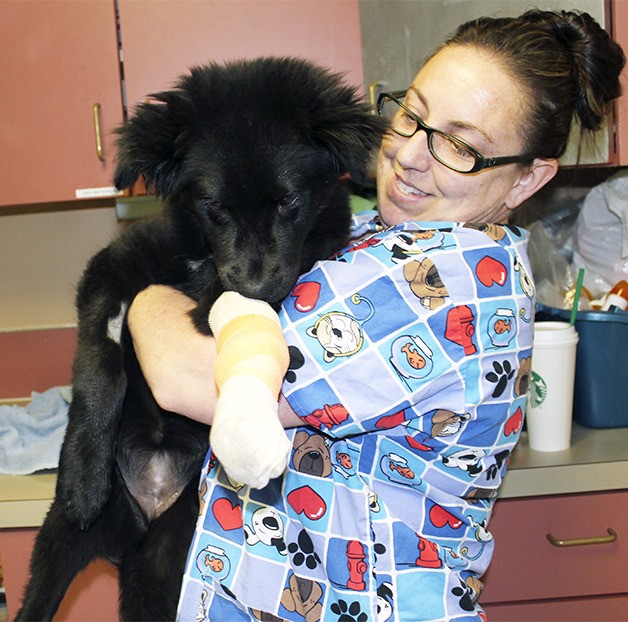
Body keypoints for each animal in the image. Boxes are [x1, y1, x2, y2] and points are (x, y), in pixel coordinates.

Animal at [14, 58, 386, 622]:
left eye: (290, 201)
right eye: (213, 204)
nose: (253, 285)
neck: (201, 256)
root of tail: (140, 520)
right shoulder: (112, 268)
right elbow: (100, 360)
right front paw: (83, 475)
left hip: (167, 563)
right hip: (59, 544)